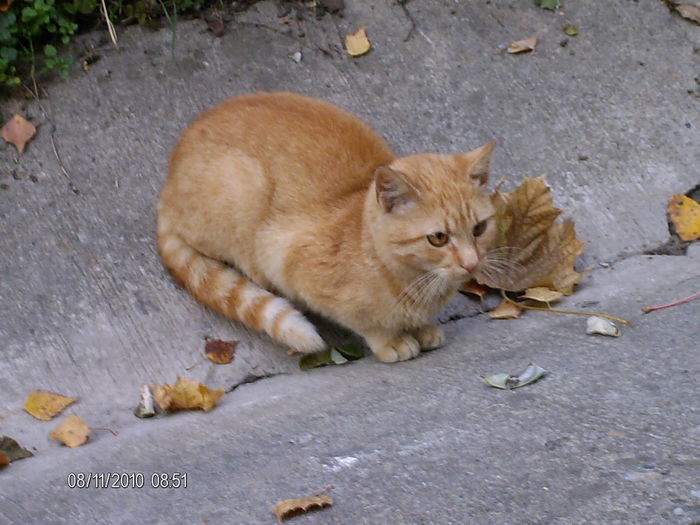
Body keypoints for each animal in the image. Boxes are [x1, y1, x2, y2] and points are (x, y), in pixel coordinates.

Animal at [159, 92, 498, 362]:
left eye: (479, 229)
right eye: (438, 238)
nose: (472, 263)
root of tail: (168, 179)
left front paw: (422, 328)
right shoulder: (282, 254)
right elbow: (365, 323)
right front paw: (391, 340)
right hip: (244, 190)